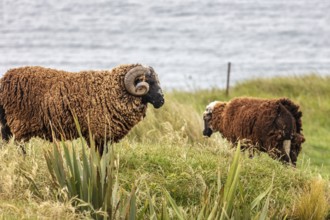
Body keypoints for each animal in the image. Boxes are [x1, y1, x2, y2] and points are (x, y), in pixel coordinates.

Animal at [0, 62, 165, 154]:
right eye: (148, 81)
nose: (161, 101)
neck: (110, 90)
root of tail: (5, 79)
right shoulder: (98, 134)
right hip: (19, 124)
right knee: (19, 147)